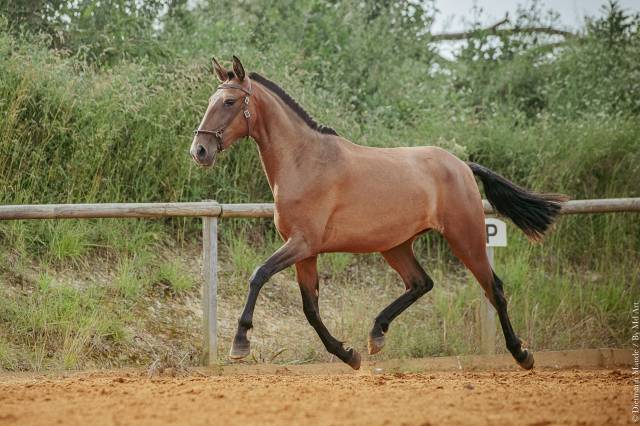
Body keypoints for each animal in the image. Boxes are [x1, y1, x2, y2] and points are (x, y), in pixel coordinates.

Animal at [190, 56, 567, 370]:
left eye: (229, 102)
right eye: (211, 101)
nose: (200, 150)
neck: (304, 161)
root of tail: (461, 164)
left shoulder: (301, 243)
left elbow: (259, 275)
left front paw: (240, 343)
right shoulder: (305, 251)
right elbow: (311, 309)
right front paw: (349, 355)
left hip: (466, 235)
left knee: (494, 288)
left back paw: (522, 354)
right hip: (396, 245)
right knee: (421, 283)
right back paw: (376, 335)